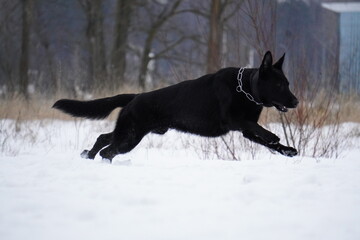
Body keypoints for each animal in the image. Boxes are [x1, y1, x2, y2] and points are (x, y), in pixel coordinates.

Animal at [53, 51, 300, 162]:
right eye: (279, 85)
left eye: (288, 83)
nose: (297, 102)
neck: (246, 88)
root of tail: (136, 96)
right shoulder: (234, 121)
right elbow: (260, 129)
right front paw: (274, 137)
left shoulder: (246, 131)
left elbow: (263, 137)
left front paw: (287, 149)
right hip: (130, 137)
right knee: (108, 149)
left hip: (127, 132)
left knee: (103, 138)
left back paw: (88, 155)